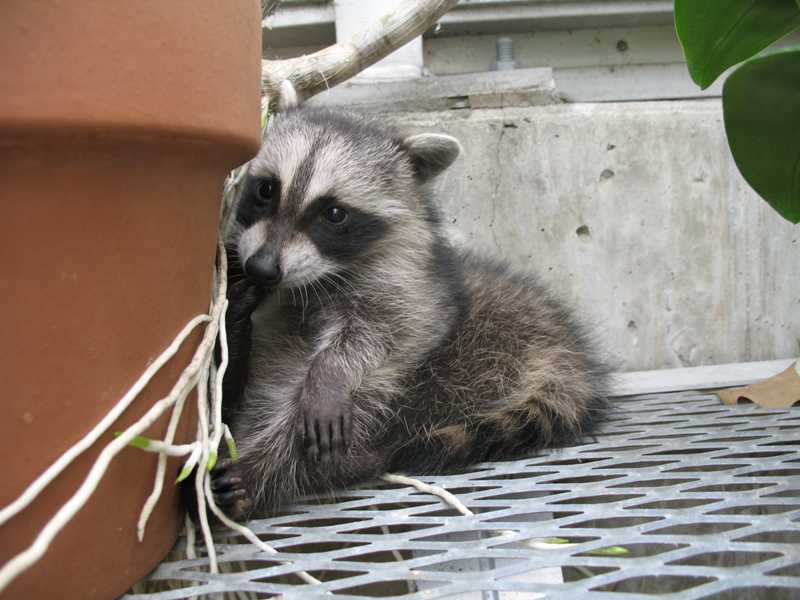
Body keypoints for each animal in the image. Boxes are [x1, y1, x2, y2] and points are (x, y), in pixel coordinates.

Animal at [208, 83, 609, 519]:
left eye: (335, 214)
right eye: (266, 189)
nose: (262, 268)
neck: (311, 281)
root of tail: (567, 353)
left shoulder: (411, 294)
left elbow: (380, 332)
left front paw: (331, 372)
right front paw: (234, 318)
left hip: (474, 358)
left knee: (361, 417)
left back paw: (266, 471)